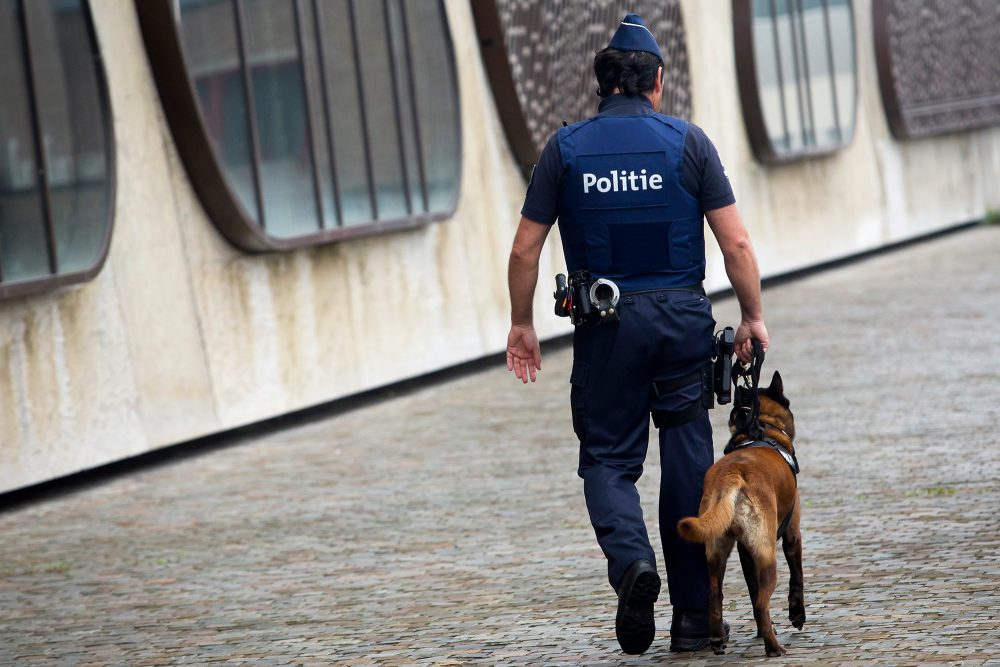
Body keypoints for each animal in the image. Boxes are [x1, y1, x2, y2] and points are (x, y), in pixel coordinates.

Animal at [676, 370, 800, 656]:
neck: (764, 427)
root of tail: (731, 475)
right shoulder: (792, 533)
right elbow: (796, 579)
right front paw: (797, 616)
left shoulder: (744, 552)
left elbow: (751, 592)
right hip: (766, 556)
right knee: (762, 603)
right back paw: (774, 647)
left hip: (716, 552)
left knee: (715, 596)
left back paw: (717, 639)